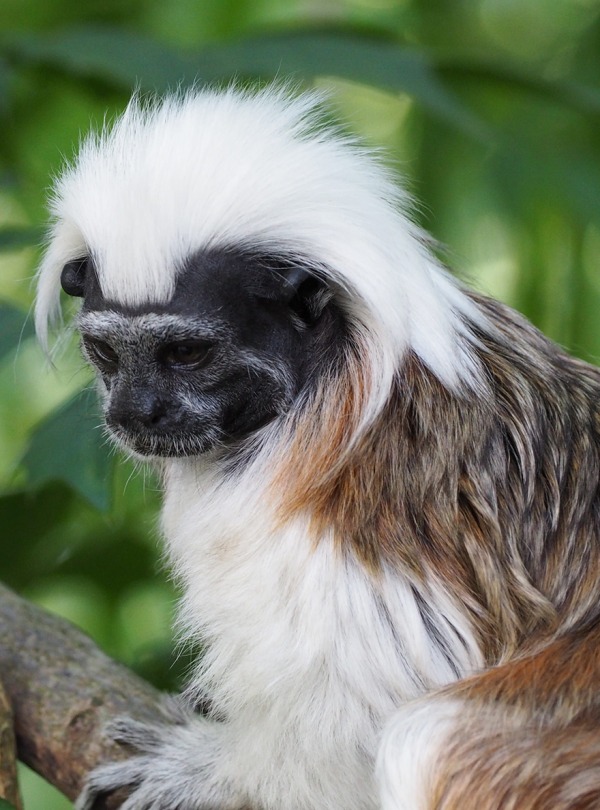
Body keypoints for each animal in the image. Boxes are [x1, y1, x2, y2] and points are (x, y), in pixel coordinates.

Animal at [35, 85, 600, 804]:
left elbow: (365, 705)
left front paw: (208, 769)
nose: (134, 412)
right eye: (106, 352)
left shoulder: (375, 506)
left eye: (186, 353)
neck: (323, 385)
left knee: (426, 738)